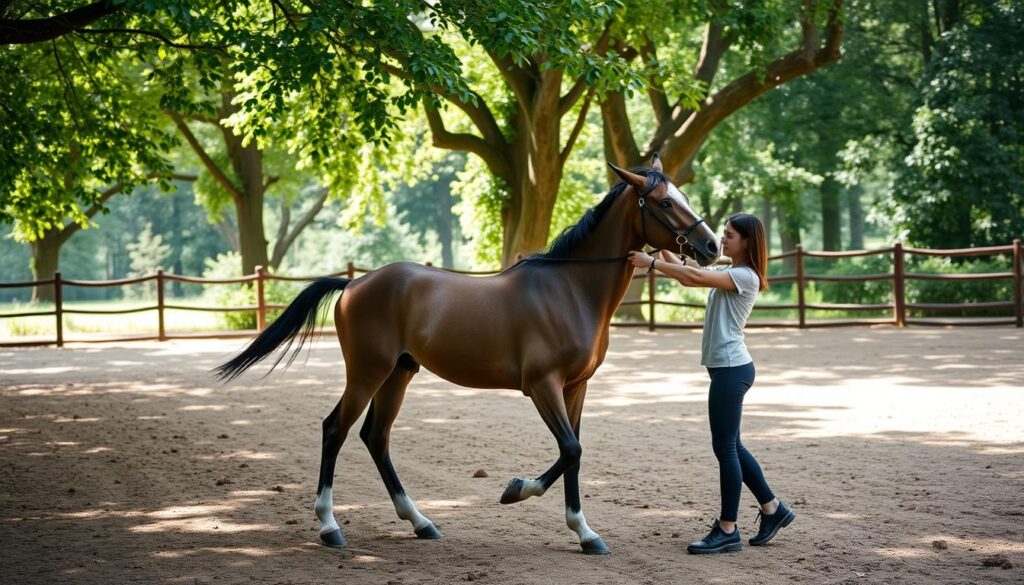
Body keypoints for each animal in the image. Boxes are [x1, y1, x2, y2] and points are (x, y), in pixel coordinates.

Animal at [214, 153, 720, 557]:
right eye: (665, 203)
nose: (712, 246)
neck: (570, 289)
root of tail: (355, 283)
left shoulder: (576, 388)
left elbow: (574, 453)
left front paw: (585, 533)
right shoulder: (543, 386)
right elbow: (570, 449)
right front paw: (516, 491)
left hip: (398, 374)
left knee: (376, 437)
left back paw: (421, 523)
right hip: (367, 372)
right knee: (335, 430)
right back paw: (329, 527)